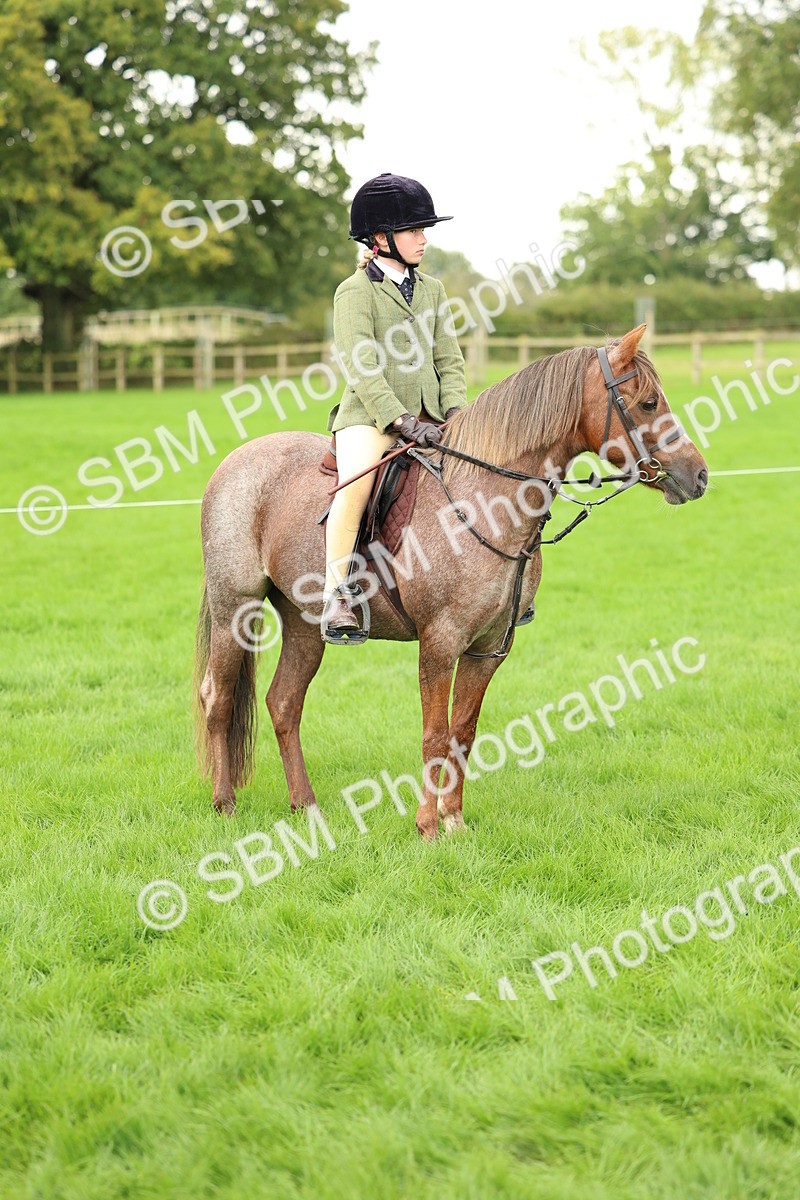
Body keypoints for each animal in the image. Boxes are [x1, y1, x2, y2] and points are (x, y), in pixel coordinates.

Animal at [194, 324, 708, 838]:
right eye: (648, 403)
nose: (699, 476)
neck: (483, 503)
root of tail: (234, 461)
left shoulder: (487, 648)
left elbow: (463, 732)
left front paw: (454, 821)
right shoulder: (439, 643)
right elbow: (435, 735)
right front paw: (426, 826)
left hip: (304, 625)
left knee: (284, 704)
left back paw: (308, 808)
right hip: (234, 610)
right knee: (218, 698)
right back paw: (224, 804)